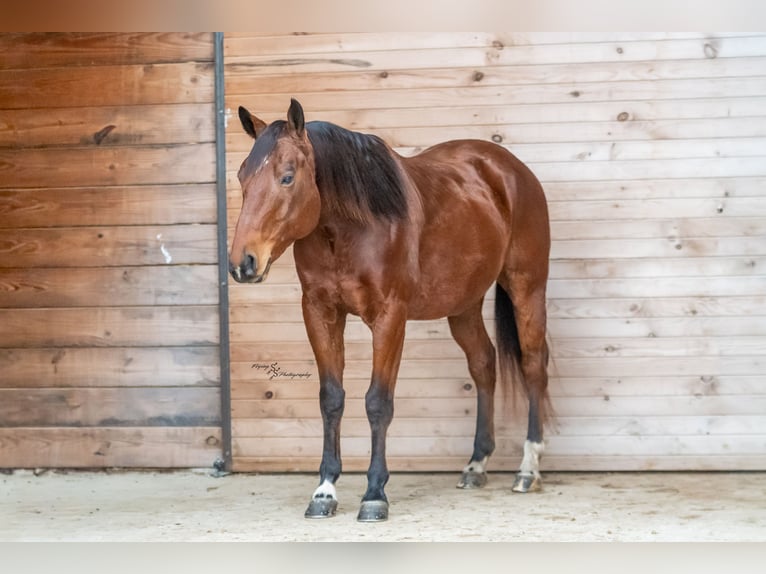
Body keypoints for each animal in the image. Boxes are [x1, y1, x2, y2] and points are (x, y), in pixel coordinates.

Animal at [229, 99, 551, 522]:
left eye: (286, 177)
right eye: (241, 176)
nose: (243, 263)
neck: (351, 227)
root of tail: (510, 169)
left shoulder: (389, 317)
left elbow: (378, 402)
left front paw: (374, 493)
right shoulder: (319, 313)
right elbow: (331, 398)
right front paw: (324, 491)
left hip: (527, 287)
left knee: (533, 365)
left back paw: (528, 469)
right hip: (463, 304)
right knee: (484, 363)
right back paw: (476, 464)